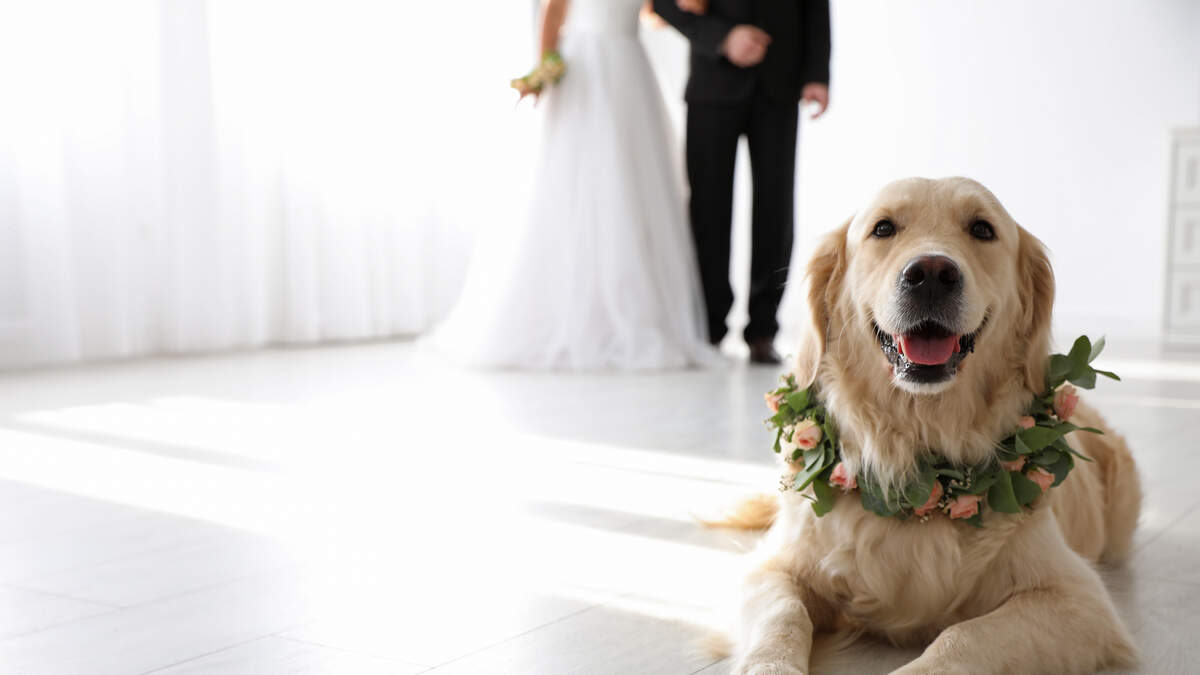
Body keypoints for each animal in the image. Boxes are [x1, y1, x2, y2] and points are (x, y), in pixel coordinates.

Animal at [724, 176, 1137, 667]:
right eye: (883, 228)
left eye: (982, 229)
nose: (932, 273)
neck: (919, 453)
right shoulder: (773, 569)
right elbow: (781, 619)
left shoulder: (1077, 599)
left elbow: (962, 638)